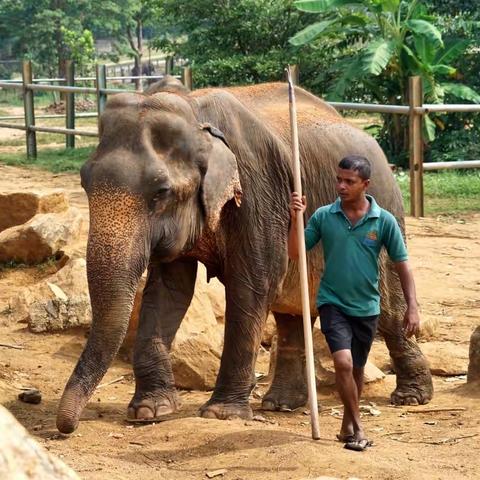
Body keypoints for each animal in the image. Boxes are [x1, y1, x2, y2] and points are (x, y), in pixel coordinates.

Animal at [54, 80, 434, 434]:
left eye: (161, 192)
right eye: (84, 182)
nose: (67, 427)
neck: (195, 110)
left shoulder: (259, 191)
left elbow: (252, 285)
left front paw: (221, 415)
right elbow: (168, 292)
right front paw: (149, 411)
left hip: (387, 210)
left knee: (388, 312)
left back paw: (412, 397)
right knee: (292, 314)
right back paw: (282, 404)